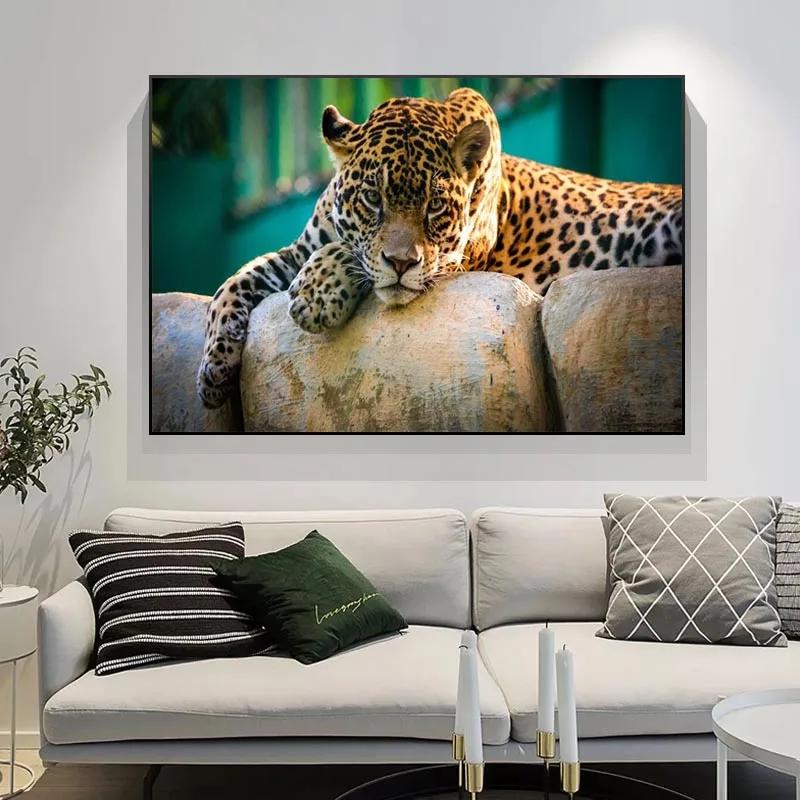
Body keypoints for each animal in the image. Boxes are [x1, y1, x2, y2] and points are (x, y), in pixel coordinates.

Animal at [197, 87, 683, 409]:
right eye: (372, 198)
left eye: (434, 206)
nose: (401, 263)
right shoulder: (299, 250)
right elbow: (233, 282)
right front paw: (214, 369)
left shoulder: (455, 259)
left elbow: (354, 257)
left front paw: (317, 295)